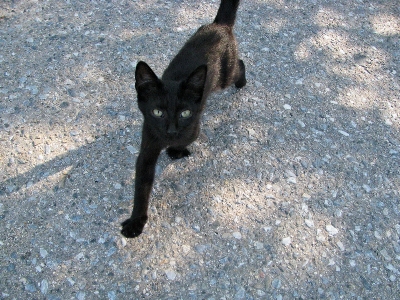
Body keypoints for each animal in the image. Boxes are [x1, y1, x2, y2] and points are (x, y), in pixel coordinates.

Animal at [121, 0, 247, 239]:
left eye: (184, 113)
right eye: (157, 112)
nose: (171, 130)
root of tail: (219, 25)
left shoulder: (193, 128)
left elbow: (185, 140)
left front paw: (176, 151)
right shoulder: (148, 142)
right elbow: (142, 186)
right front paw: (136, 221)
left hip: (224, 77)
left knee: (240, 65)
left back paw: (242, 82)